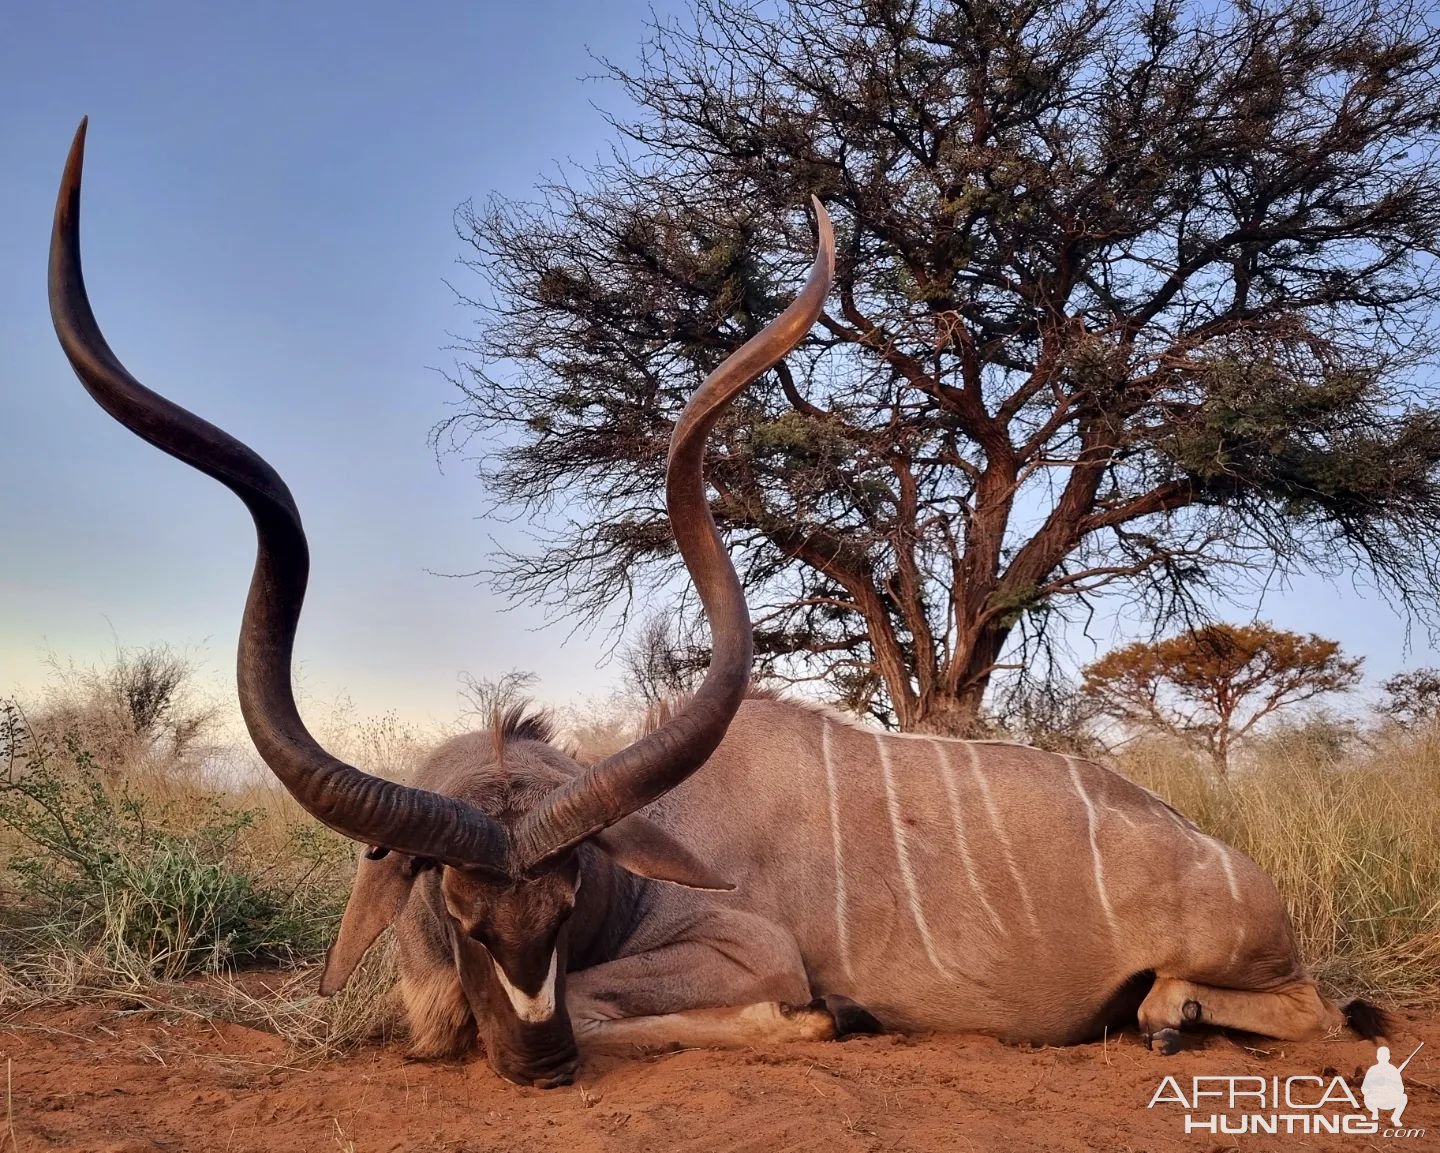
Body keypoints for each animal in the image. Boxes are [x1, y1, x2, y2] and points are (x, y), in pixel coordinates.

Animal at [53, 123, 1382, 1088]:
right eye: (460, 909)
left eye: (569, 897)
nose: (539, 1062)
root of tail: (1218, 852)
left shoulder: (745, 951)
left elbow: (650, 999)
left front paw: (822, 1024)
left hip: (1246, 953)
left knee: (1320, 1004)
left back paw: (1167, 1015)